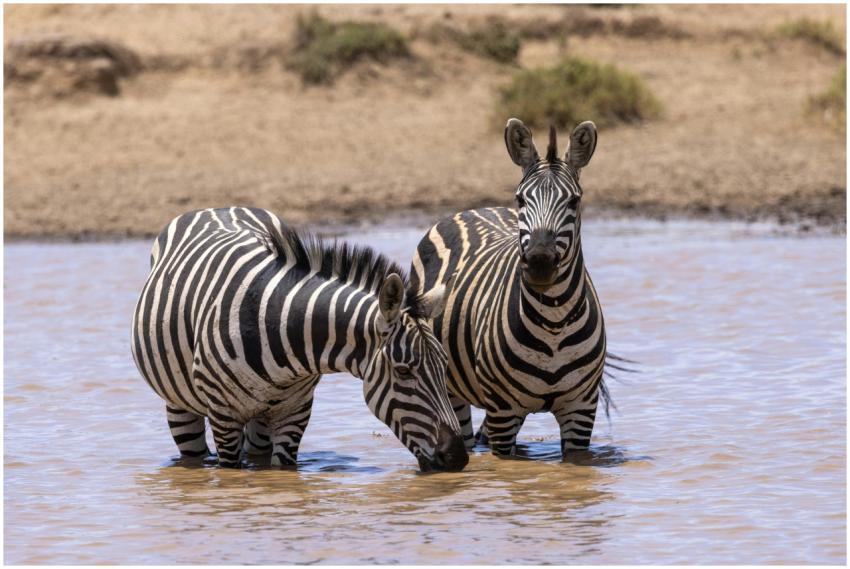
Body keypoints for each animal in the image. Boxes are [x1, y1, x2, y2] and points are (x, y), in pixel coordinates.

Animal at [132, 206, 468, 471]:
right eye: (403, 371)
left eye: (444, 365)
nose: (458, 458)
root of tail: (217, 207)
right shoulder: (224, 416)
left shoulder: (295, 412)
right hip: (179, 404)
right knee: (192, 452)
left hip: (261, 419)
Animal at [409, 118, 607, 459]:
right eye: (521, 199)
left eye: (574, 201)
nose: (540, 261)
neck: (553, 323)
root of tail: (472, 210)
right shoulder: (503, 410)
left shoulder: (581, 408)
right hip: (450, 387)